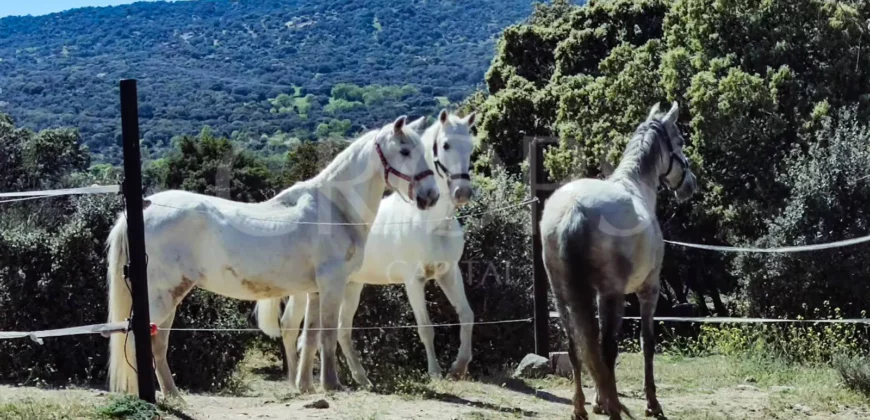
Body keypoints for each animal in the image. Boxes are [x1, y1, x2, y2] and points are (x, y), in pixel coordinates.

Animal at [104, 115, 440, 398]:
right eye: (405, 151)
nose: (431, 196)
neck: (334, 208)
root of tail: (142, 209)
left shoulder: (315, 291)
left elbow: (311, 337)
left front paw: (306, 386)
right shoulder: (333, 285)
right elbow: (328, 335)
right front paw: (332, 385)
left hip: (170, 296)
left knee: (157, 343)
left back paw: (174, 395)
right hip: (162, 295)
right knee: (140, 341)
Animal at [255, 110, 480, 390]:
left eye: (471, 146)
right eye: (446, 145)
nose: (462, 192)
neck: (432, 222)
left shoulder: (448, 273)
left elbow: (467, 315)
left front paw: (459, 367)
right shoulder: (413, 280)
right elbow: (426, 327)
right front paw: (435, 373)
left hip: (351, 286)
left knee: (342, 330)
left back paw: (361, 379)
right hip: (302, 292)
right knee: (289, 327)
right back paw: (296, 380)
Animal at [540, 102, 700, 420]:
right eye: (680, 141)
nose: (691, 184)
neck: (636, 186)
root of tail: (573, 210)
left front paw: (599, 401)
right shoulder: (647, 290)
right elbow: (646, 344)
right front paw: (651, 403)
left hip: (563, 296)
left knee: (576, 347)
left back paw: (580, 408)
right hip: (613, 295)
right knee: (605, 347)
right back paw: (612, 406)